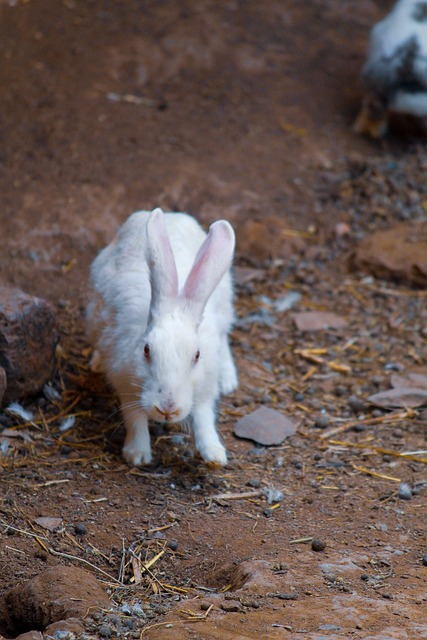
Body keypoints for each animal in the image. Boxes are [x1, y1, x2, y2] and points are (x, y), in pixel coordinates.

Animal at [85, 209, 239, 464]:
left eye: (197, 356)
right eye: (146, 350)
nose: (168, 408)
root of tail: (171, 215)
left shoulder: (205, 386)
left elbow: (204, 415)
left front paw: (214, 455)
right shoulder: (125, 381)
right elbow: (134, 416)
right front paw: (137, 455)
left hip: (224, 303)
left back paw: (228, 380)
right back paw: (96, 362)